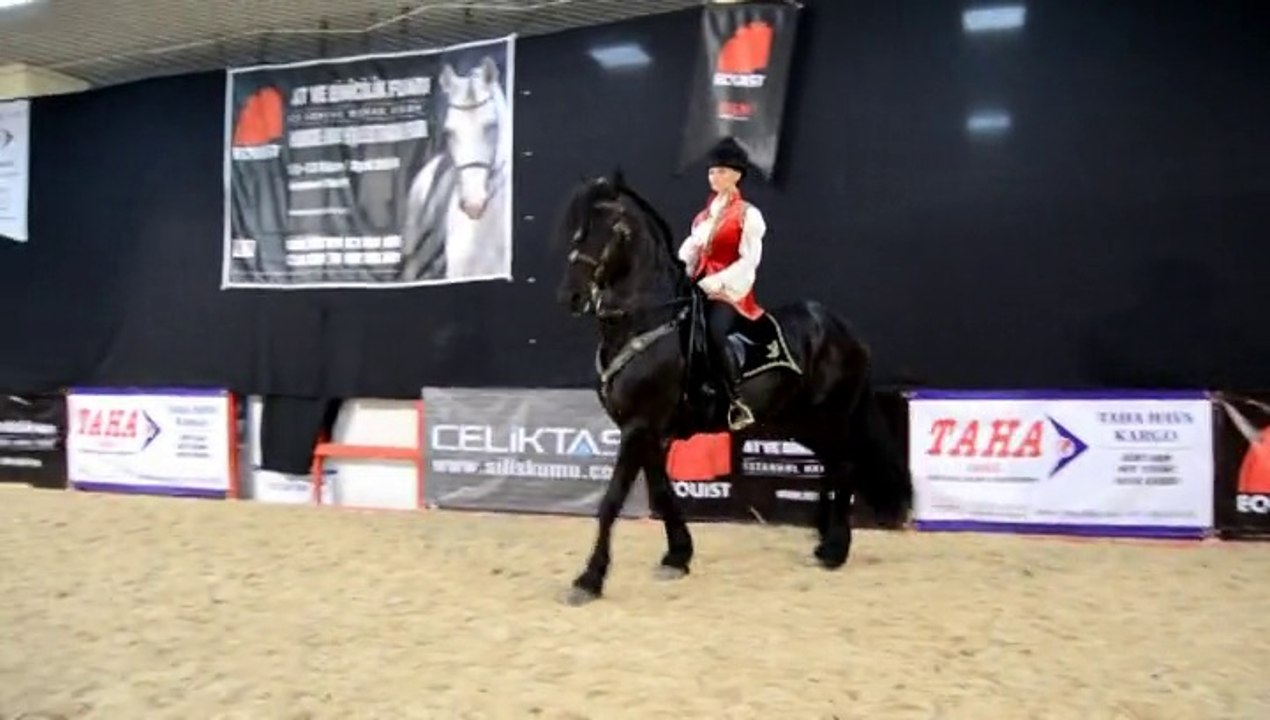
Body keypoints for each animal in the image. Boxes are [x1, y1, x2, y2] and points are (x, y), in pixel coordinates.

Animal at [554, 171, 914, 605]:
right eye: (576, 229)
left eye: (613, 229)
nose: (571, 296)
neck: (644, 321)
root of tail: (841, 328)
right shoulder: (648, 432)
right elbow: (661, 491)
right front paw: (677, 556)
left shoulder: (638, 427)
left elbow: (611, 501)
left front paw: (588, 580)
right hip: (799, 420)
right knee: (831, 465)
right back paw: (823, 539)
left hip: (830, 414)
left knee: (844, 465)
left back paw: (834, 550)